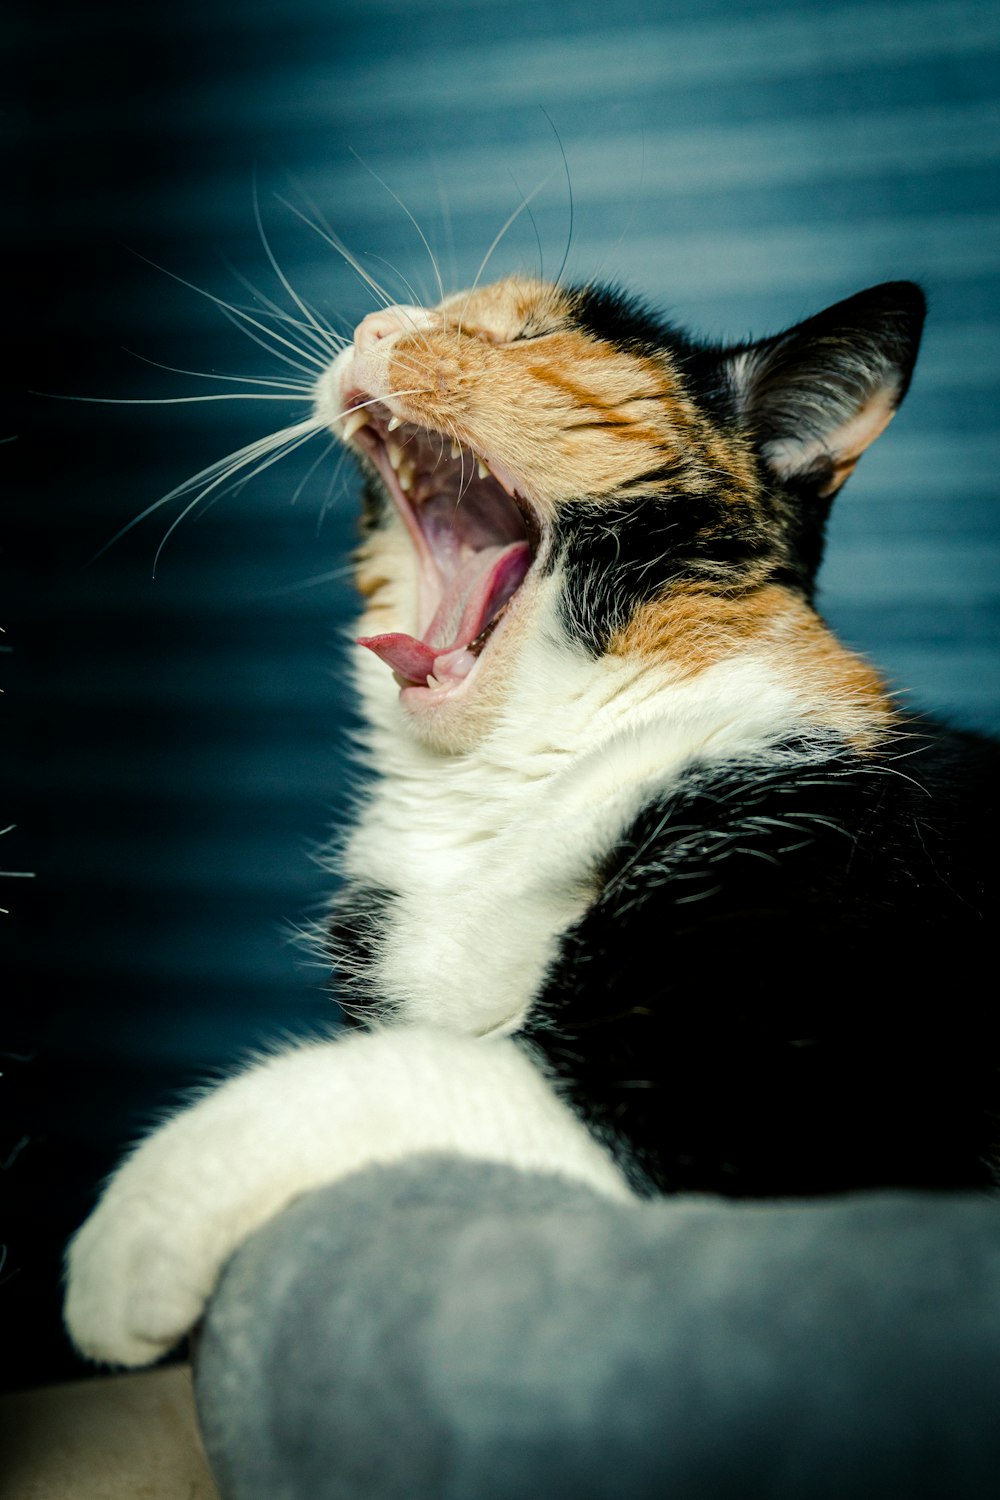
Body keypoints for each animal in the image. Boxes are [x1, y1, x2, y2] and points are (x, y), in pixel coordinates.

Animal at [66, 273, 995, 1374]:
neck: (494, 790)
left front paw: (124, 1247)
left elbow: (403, 1071)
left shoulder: (738, 1090)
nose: (375, 326)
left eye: (535, 336)